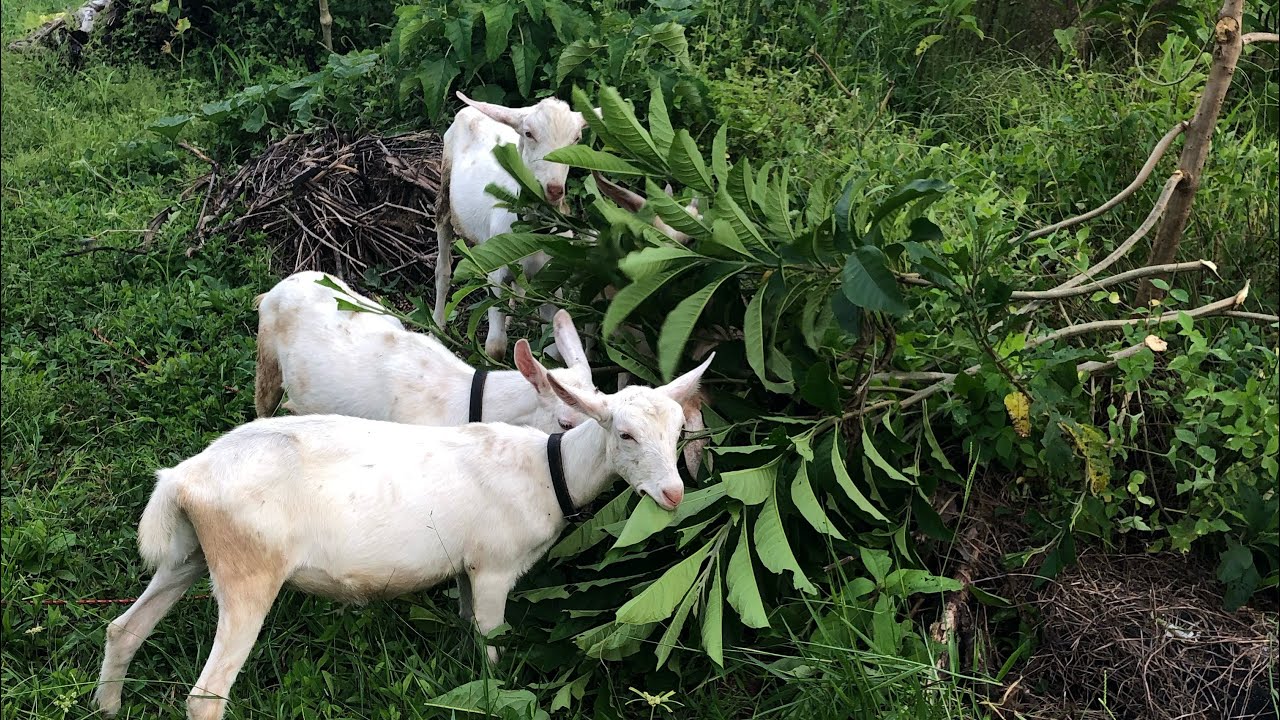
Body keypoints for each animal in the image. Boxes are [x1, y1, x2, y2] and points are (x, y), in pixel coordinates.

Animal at [93, 354, 714, 720]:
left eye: (677, 432)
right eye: (625, 433)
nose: (672, 494)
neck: (547, 470)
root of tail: (183, 479)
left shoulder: (466, 567)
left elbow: (469, 631)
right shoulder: (494, 566)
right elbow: (492, 645)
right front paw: (495, 692)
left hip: (190, 554)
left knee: (124, 629)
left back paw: (108, 707)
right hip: (250, 569)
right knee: (206, 694)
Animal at [433, 92, 597, 361]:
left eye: (576, 138)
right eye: (529, 134)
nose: (554, 189)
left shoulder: (550, 278)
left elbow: (553, 349)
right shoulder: (495, 275)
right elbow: (495, 346)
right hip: (445, 196)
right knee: (443, 268)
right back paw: (436, 329)